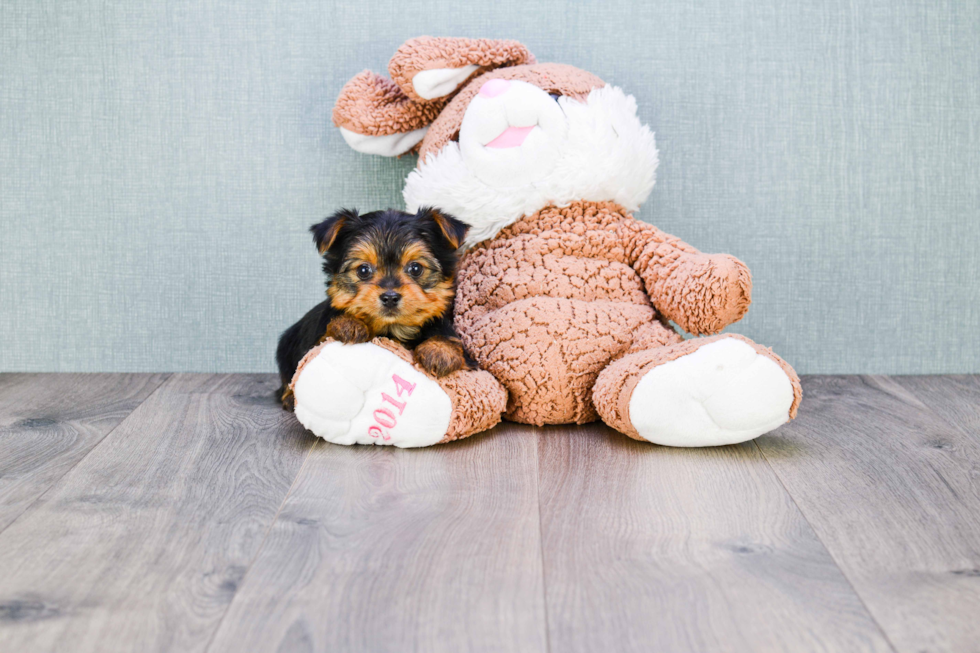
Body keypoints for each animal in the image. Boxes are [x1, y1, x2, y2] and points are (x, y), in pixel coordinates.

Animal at [276, 205, 474, 408]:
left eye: (416, 268)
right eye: (363, 270)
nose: (390, 297)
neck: (392, 329)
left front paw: (439, 350)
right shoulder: (315, 342)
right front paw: (348, 324)